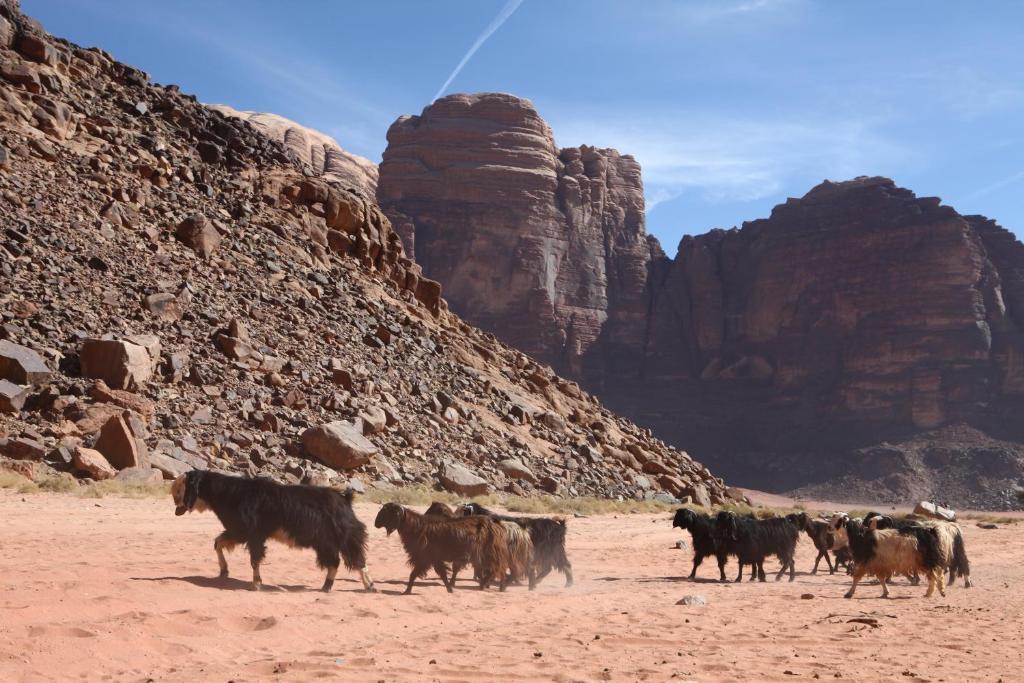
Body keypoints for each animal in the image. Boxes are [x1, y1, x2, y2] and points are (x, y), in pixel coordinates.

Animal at [169, 471, 374, 593]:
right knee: (335, 562)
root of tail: (345, 499)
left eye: (182, 487)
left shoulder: (253, 534)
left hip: (343, 537)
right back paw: (326, 586)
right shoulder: (238, 531)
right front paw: (224, 571)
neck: (230, 493)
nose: (176, 506)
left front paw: (256, 584)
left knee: (356, 559)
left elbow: (254, 559)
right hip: (325, 543)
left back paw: (369, 586)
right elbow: (218, 542)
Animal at [374, 501, 509, 593]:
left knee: (496, 569)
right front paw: (450, 589)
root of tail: (495, 525)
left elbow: (413, 574)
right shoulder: (434, 559)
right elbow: (443, 574)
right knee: (496, 570)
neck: (416, 527)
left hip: (489, 554)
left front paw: (406, 591)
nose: (375, 523)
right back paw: (491, 586)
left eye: (387, 511)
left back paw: (491, 585)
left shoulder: (424, 558)